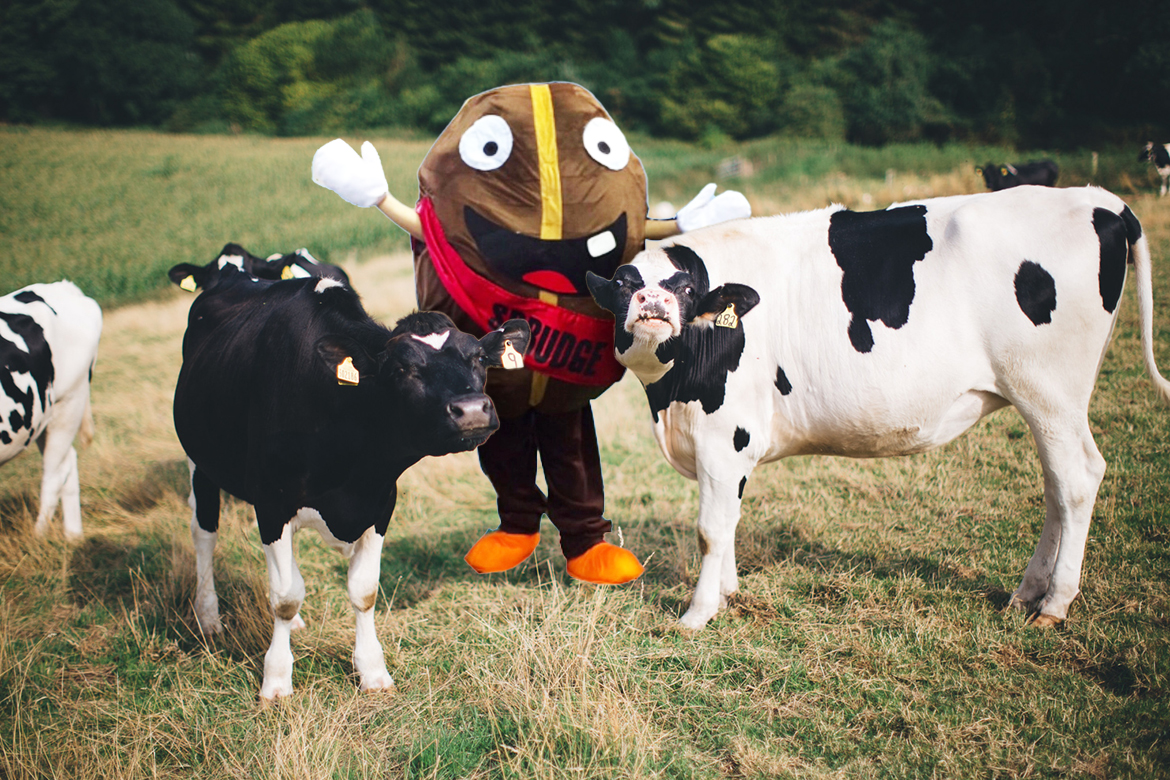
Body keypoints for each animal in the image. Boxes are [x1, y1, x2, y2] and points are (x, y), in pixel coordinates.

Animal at [0, 281, 102, 538]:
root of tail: (61, 286)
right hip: (41, 418)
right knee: (69, 460)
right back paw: (73, 536)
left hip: (68, 403)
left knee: (55, 473)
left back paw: (38, 537)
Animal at [171, 261, 530, 700]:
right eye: (402, 367)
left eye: (479, 357)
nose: (473, 410)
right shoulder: (272, 503)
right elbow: (284, 597)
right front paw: (276, 680)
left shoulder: (379, 500)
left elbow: (363, 590)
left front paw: (372, 670)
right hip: (199, 460)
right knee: (203, 532)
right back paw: (208, 617)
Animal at [587, 185, 1169, 632]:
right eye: (624, 284)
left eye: (685, 288)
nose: (653, 304)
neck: (670, 398)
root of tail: (1096, 199)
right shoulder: (732, 445)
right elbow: (730, 520)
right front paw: (728, 594)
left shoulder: (724, 435)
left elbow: (711, 527)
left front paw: (698, 613)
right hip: (1048, 402)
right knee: (1055, 487)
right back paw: (1027, 593)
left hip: (1050, 392)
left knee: (1077, 479)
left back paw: (1055, 605)